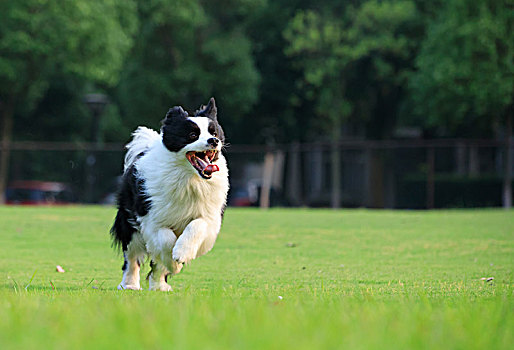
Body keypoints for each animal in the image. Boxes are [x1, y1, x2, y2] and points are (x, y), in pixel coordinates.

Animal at [110, 97, 228, 292]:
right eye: (192, 135)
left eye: (214, 132)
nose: (213, 140)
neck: (189, 178)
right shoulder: (151, 219)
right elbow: (165, 239)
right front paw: (175, 263)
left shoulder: (209, 217)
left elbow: (196, 225)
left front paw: (181, 254)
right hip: (130, 225)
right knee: (132, 258)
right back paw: (130, 284)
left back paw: (159, 286)